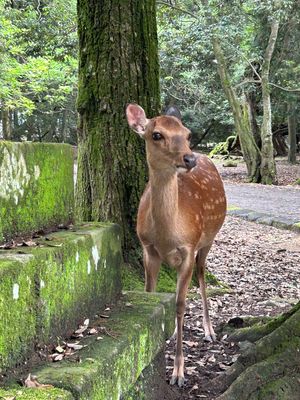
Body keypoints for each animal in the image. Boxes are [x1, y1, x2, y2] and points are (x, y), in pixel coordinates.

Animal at [125, 104, 226, 388]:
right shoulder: (148, 248)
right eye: (156, 134)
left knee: (202, 272)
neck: (167, 234)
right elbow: (151, 294)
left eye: (187, 133)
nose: (189, 159)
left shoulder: (188, 248)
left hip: (208, 238)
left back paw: (209, 330)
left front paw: (179, 372)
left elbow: (181, 305)